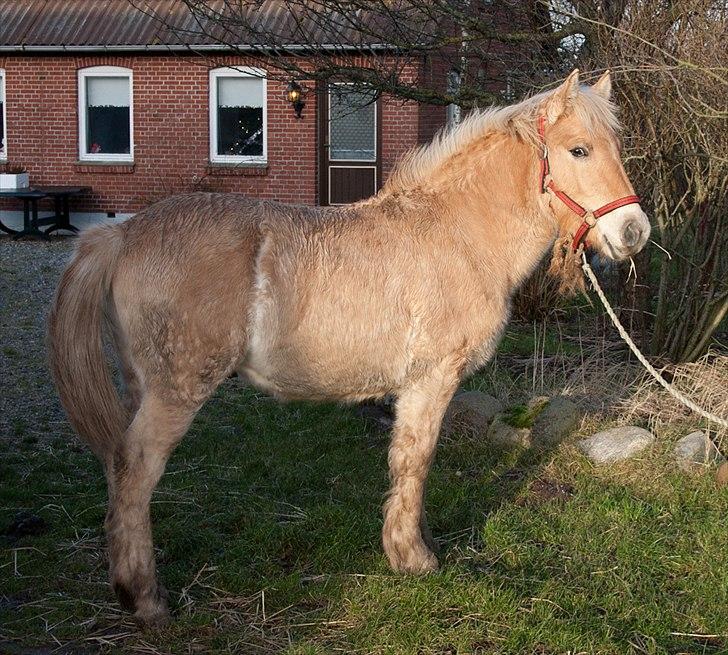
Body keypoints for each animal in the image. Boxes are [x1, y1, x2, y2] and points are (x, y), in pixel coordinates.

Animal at [47, 69, 648, 628]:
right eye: (579, 150)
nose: (634, 231)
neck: (457, 233)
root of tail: (120, 235)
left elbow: (407, 461)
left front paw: (416, 542)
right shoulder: (432, 380)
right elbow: (416, 460)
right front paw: (413, 557)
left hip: (140, 386)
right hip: (175, 392)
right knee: (135, 471)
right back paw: (146, 600)